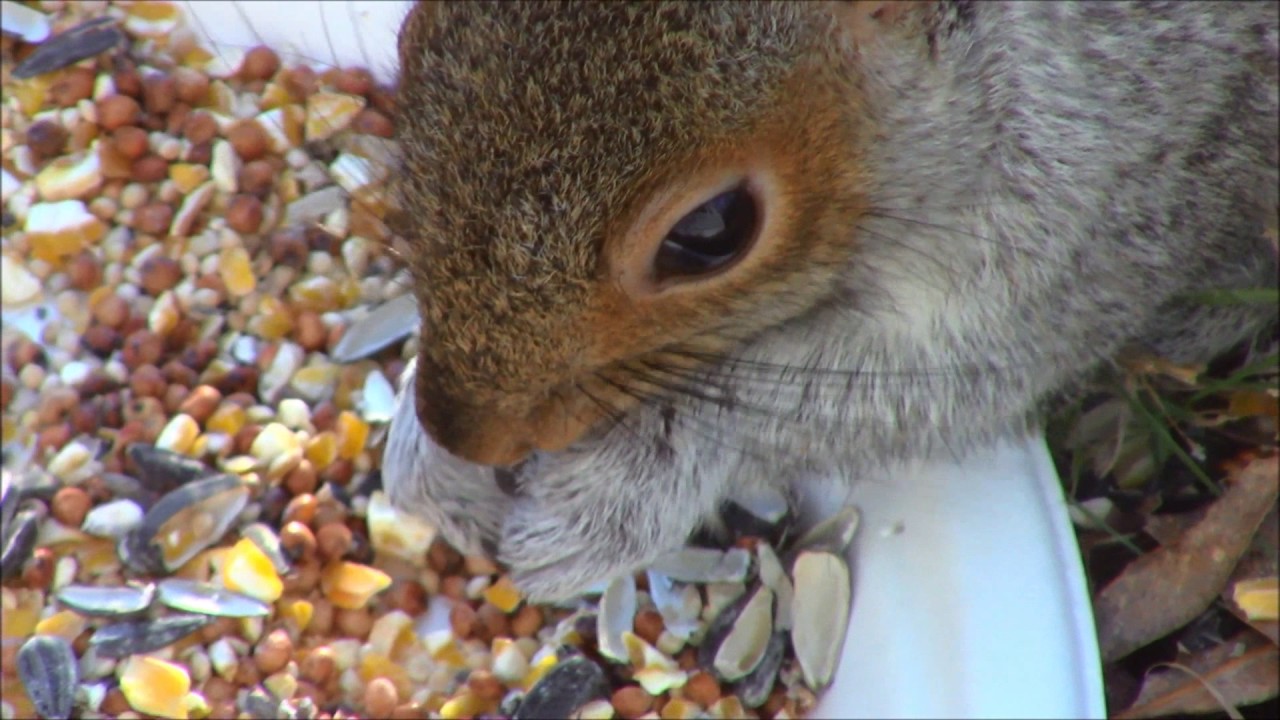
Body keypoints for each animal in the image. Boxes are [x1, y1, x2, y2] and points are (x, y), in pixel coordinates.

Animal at [381, 0, 1280, 602]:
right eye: (410, 34)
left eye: (711, 230)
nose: (461, 429)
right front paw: (425, 458)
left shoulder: (1069, 226)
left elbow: (882, 396)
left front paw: (610, 498)